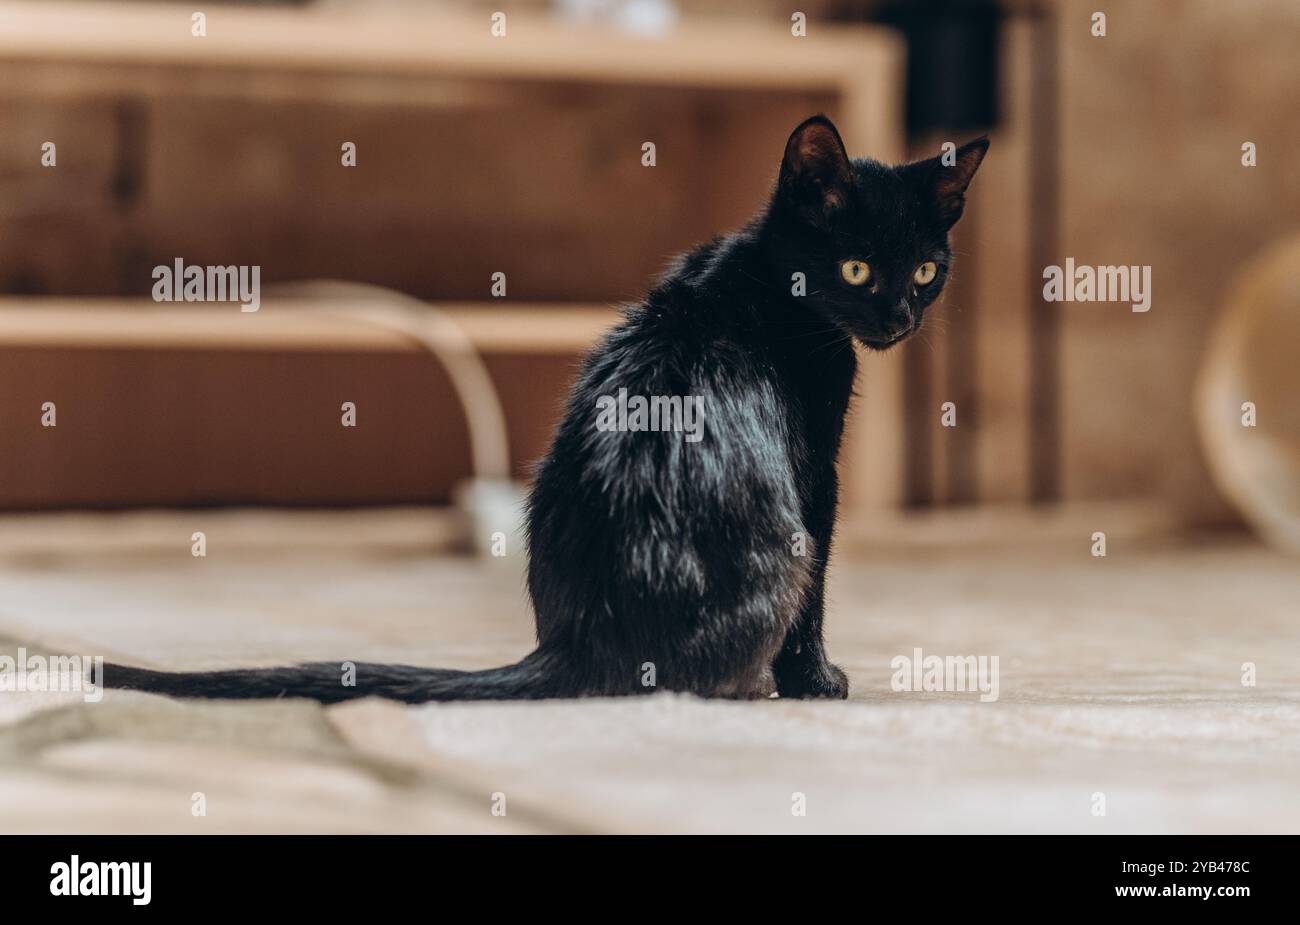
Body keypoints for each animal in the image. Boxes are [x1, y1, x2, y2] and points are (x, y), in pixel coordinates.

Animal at [106, 117, 982, 706]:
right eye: (857, 268)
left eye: (926, 270)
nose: (899, 318)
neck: (767, 274)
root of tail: (579, 644)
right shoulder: (815, 474)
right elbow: (820, 588)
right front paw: (815, 679)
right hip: (782, 542)